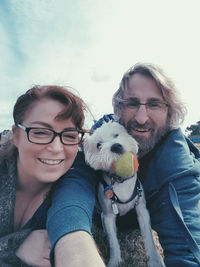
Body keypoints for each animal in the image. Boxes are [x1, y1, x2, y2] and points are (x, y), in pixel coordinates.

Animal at [83, 121, 164, 267]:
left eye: (116, 135)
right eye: (98, 145)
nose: (116, 146)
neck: (121, 181)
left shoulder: (142, 210)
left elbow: (148, 236)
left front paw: (155, 259)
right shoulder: (108, 216)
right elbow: (113, 242)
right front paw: (115, 261)